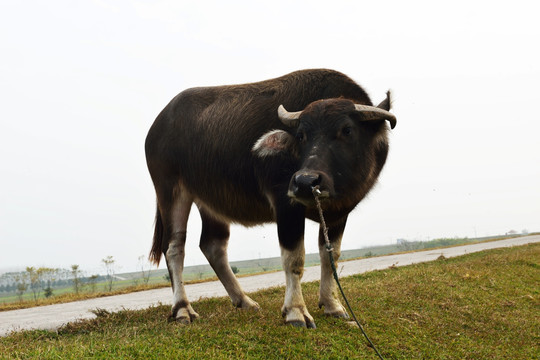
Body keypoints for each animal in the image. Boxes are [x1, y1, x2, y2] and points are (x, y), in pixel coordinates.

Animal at [146, 69, 394, 328]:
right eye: (301, 135)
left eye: (347, 130)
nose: (305, 182)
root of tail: (156, 127)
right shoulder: (286, 204)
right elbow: (294, 259)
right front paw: (296, 311)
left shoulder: (339, 214)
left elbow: (330, 257)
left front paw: (332, 305)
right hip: (170, 190)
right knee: (174, 247)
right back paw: (183, 309)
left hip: (211, 201)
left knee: (213, 245)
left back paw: (244, 300)